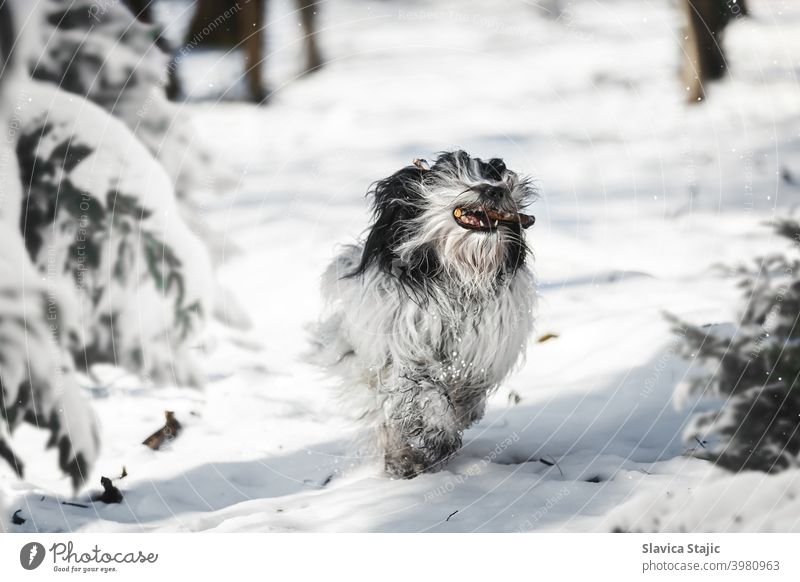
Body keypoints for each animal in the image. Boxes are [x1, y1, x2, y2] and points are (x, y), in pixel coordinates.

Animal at [312, 151, 536, 480]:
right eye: (458, 172)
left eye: (496, 175)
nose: (495, 191)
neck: (458, 275)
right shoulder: (405, 347)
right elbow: (421, 392)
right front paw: (435, 434)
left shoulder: (483, 347)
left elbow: (467, 389)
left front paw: (457, 417)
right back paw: (403, 458)